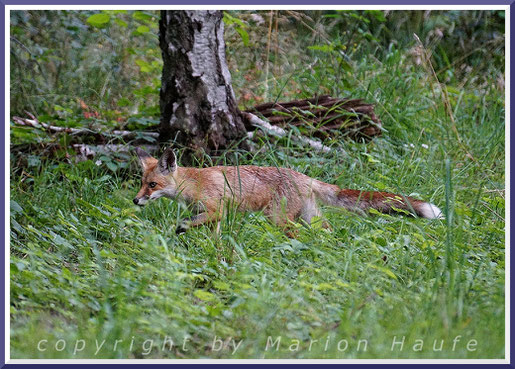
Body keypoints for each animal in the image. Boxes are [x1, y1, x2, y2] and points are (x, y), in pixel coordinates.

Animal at [133, 146, 444, 233]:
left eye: (152, 185)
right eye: (141, 183)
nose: (135, 200)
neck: (192, 183)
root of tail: (305, 176)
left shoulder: (216, 209)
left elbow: (187, 222)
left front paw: (180, 228)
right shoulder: (216, 218)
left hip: (277, 218)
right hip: (309, 217)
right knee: (326, 232)